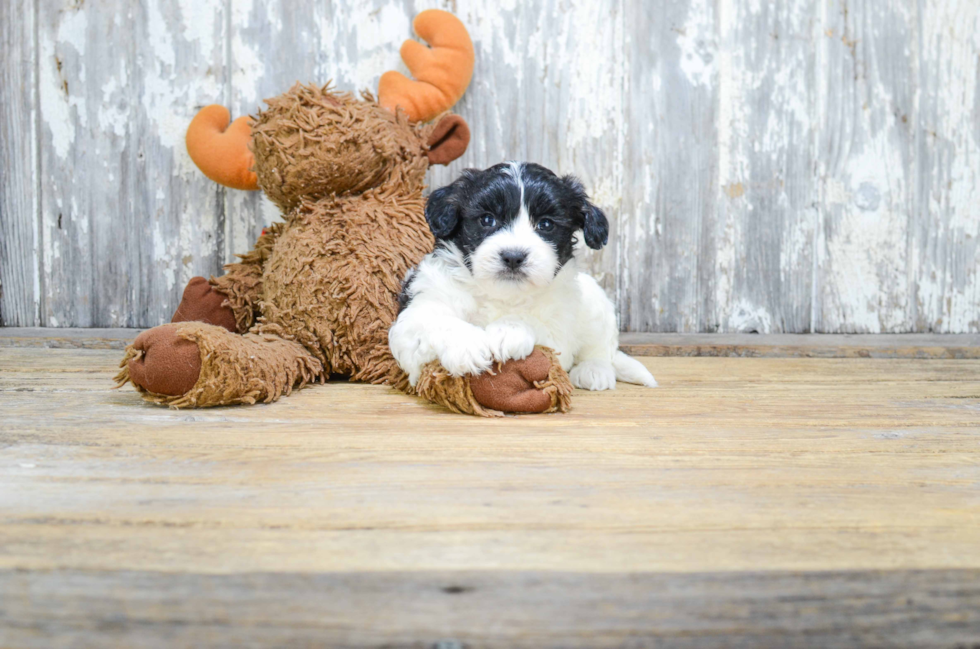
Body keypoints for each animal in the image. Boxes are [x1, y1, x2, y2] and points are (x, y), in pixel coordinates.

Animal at [386, 162, 656, 392]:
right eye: (487, 219)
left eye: (546, 225)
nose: (513, 256)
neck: (502, 294)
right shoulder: (417, 311)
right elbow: (436, 321)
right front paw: (467, 346)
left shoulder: (559, 331)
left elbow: (535, 323)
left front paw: (508, 330)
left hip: (596, 305)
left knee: (601, 348)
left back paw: (594, 370)